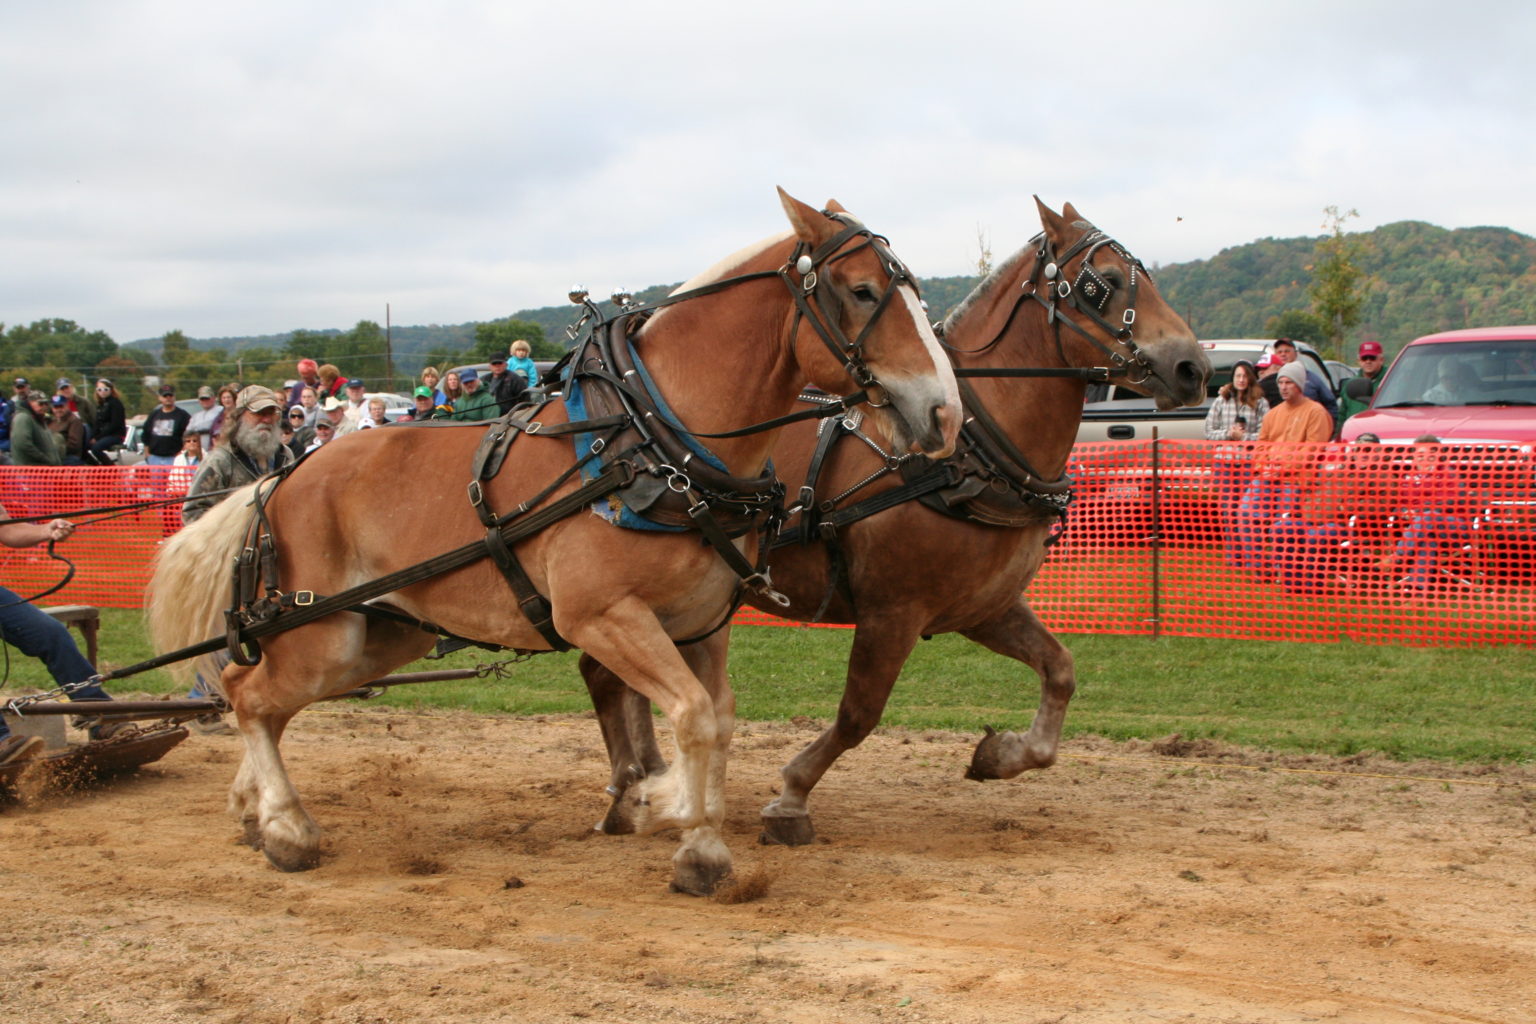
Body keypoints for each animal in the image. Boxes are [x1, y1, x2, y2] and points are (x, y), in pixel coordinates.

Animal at [146, 188, 962, 895]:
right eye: (863, 292)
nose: (946, 414)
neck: (653, 443)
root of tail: (281, 478)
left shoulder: (700, 625)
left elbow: (718, 722)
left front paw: (700, 848)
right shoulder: (602, 617)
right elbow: (692, 717)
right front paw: (661, 803)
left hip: (382, 635)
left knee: (259, 698)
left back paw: (252, 810)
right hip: (325, 634)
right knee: (250, 695)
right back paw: (287, 828)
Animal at [580, 198, 1210, 844]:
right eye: (1100, 283)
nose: (1192, 367)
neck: (968, 452)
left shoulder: (983, 608)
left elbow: (1060, 670)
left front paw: (1003, 754)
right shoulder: (893, 611)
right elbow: (859, 715)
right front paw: (791, 797)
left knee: (607, 674)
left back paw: (643, 781)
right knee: (607, 674)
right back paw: (637, 787)